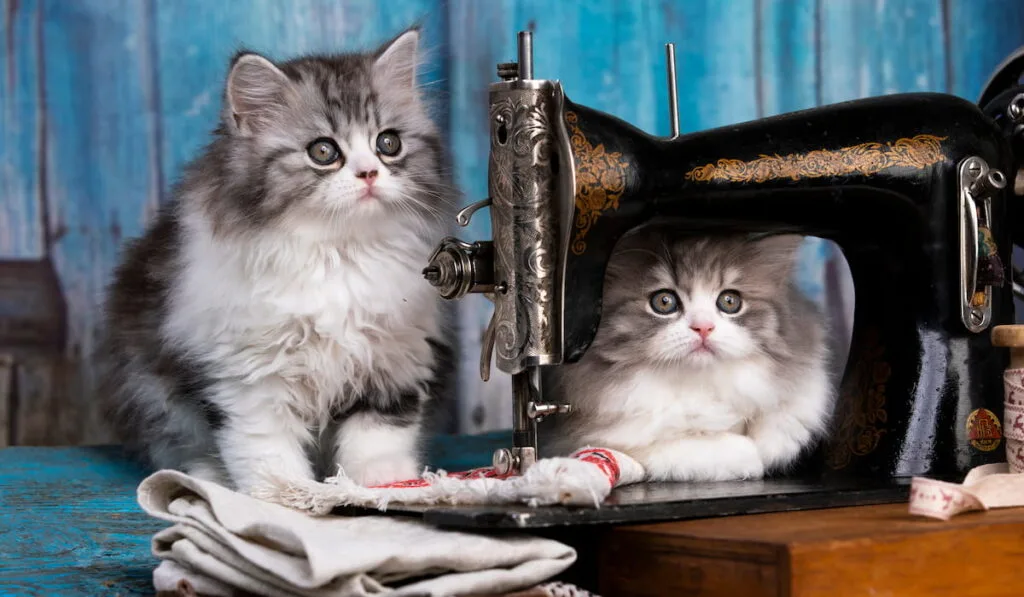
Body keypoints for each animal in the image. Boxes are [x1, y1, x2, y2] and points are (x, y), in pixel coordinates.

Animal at [97, 29, 454, 495]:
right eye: (323, 151)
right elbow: (266, 448)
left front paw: (384, 482)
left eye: (387, 144)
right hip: (155, 398)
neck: (337, 254)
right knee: (182, 447)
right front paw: (287, 495)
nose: (369, 174)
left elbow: (377, 433)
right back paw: (209, 478)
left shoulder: (393, 355)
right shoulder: (246, 377)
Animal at [540, 226, 835, 483]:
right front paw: (748, 455)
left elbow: (785, 419)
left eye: (730, 301)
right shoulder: (592, 434)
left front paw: (767, 443)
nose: (703, 327)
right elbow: (705, 447)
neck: (703, 385)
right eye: (664, 301)